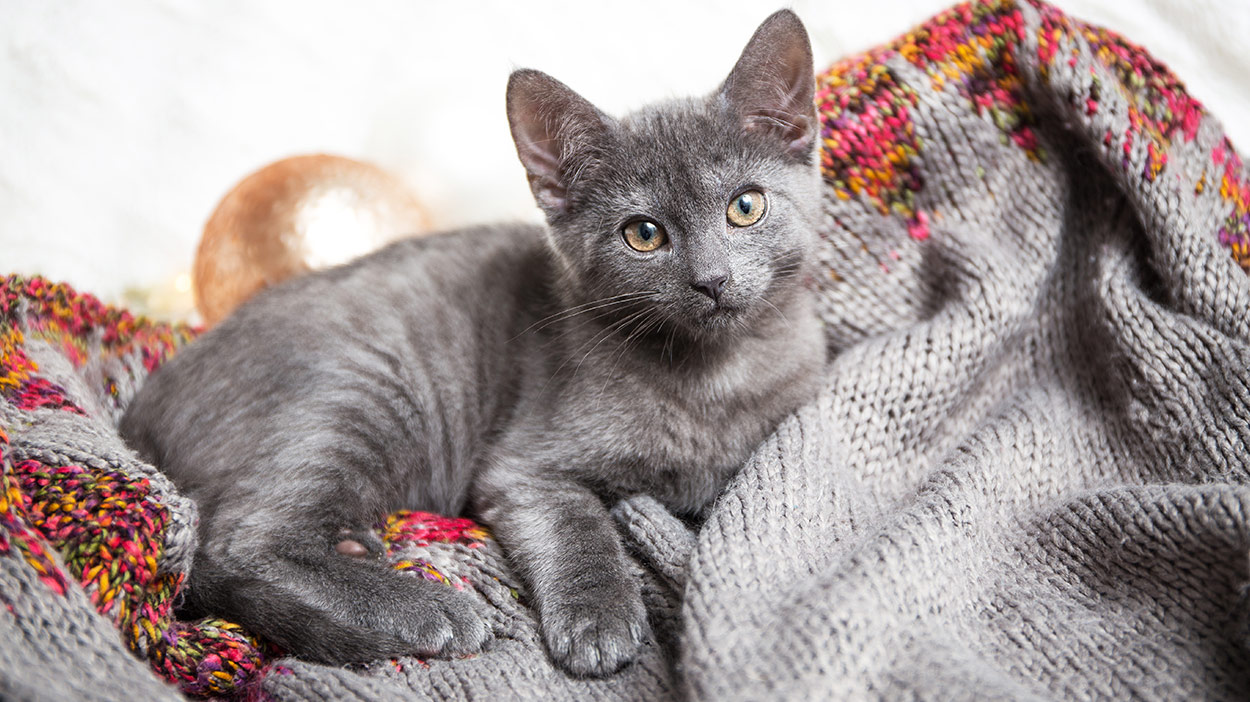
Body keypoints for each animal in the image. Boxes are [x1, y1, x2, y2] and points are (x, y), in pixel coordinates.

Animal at [121, 9, 825, 679]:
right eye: (644, 234)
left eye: (745, 207)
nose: (712, 279)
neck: (710, 378)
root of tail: (140, 414)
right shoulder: (523, 465)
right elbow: (576, 522)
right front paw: (598, 619)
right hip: (364, 389)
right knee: (229, 544)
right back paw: (422, 609)